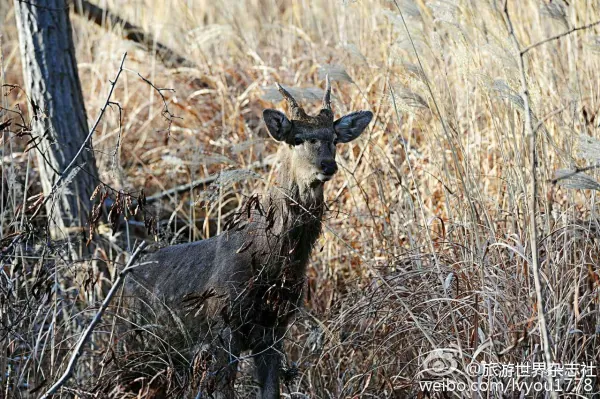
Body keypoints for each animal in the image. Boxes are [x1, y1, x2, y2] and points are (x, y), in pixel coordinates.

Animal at [122, 76, 372, 398]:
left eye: (334, 139)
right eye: (297, 138)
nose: (327, 165)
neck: (268, 260)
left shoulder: (274, 328)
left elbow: (270, 391)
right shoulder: (222, 324)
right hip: (135, 338)